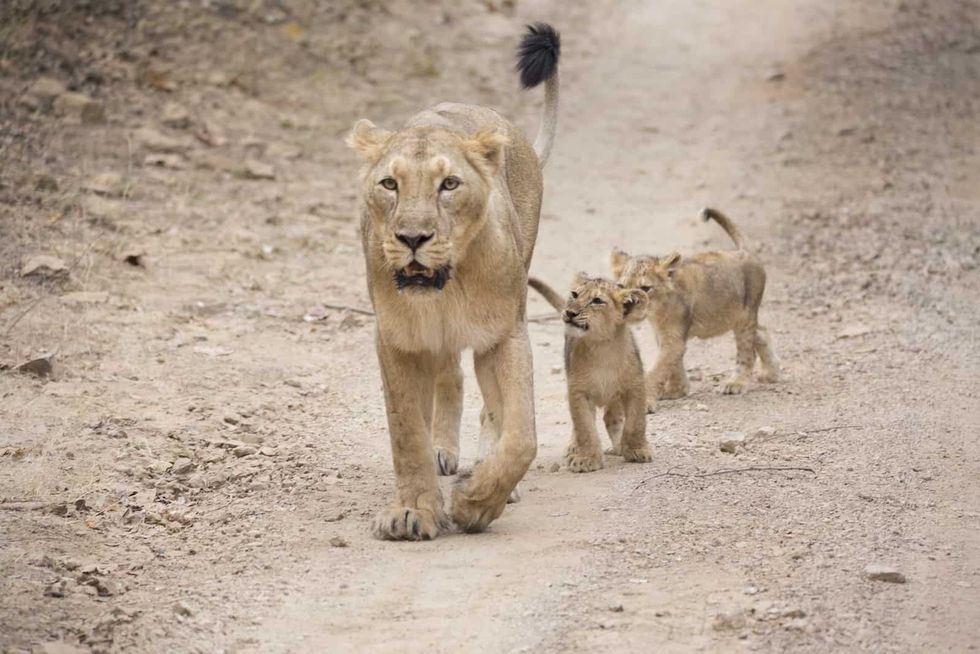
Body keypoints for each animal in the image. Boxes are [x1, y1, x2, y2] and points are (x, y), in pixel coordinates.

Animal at [346, 24, 561, 540]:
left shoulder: (505, 334)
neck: (447, 288)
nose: (412, 238)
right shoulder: (396, 338)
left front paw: (476, 503)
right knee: (448, 374)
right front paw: (413, 510)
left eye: (449, 185)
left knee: (489, 406)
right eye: (389, 184)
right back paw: (443, 450)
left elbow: (521, 436)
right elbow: (406, 432)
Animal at [528, 274, 652, 472]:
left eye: (597, 301)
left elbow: (636, 422)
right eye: (574, 294)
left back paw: (619, 445)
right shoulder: (578, 392)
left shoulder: (635, 387)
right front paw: (586, 458)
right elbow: (584, 427)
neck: (602, 347)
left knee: (612, 418)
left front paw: (637, 450)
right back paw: (574, 446)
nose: (569, 312)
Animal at [611, 207, 779, 412]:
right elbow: (673, 364)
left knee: (746, 352)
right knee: (761, 331)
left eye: (645, 288)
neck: (657, 311)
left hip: (745, 316)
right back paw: (771, 372)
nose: (627, 306)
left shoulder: (673, 337)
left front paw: (647, 402)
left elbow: (657, 369)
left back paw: (736, 383)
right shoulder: (664, 335)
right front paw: (677, 390)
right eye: (621, 286)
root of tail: (744, 251)